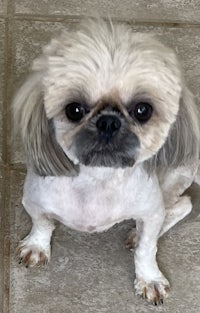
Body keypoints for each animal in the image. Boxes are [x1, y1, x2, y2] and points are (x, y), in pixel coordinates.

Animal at [13, 18, 200, 304]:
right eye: (74, 110)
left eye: (143, 110)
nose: (109, 122)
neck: (98, 178)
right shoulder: (33, 201)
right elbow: (42, 223)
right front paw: (37, 246)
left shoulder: (150, 211)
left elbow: (147, 248)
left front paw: (149, 278)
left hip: (169, 182)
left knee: (182, 206)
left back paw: (137, 234)